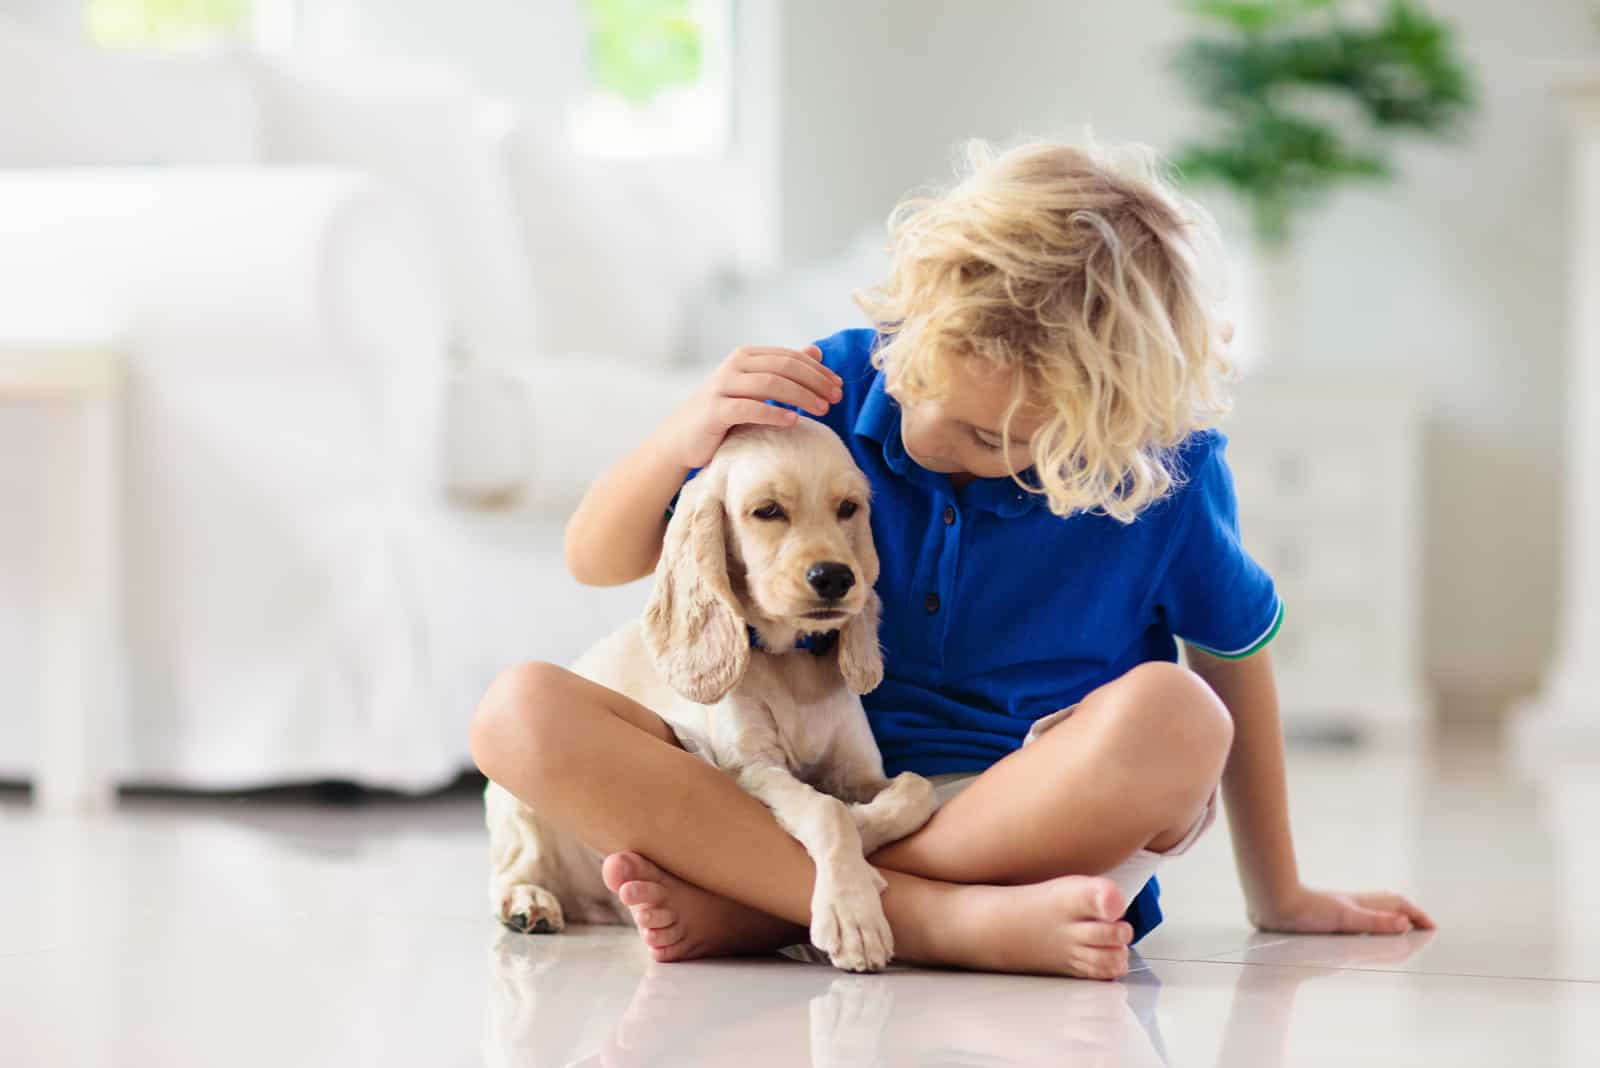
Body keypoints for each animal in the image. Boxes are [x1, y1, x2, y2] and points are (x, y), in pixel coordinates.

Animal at [483, 422, 934, 972]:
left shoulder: (860, 770)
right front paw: (855, 916)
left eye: (848, 508)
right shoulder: (750, 767)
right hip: (516, 805)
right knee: (509, 870)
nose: (834, 577)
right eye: (768, 511)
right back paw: (528, 903)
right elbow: (825, 811)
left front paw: (863, 832)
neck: (789, 662)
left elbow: (915, 790)